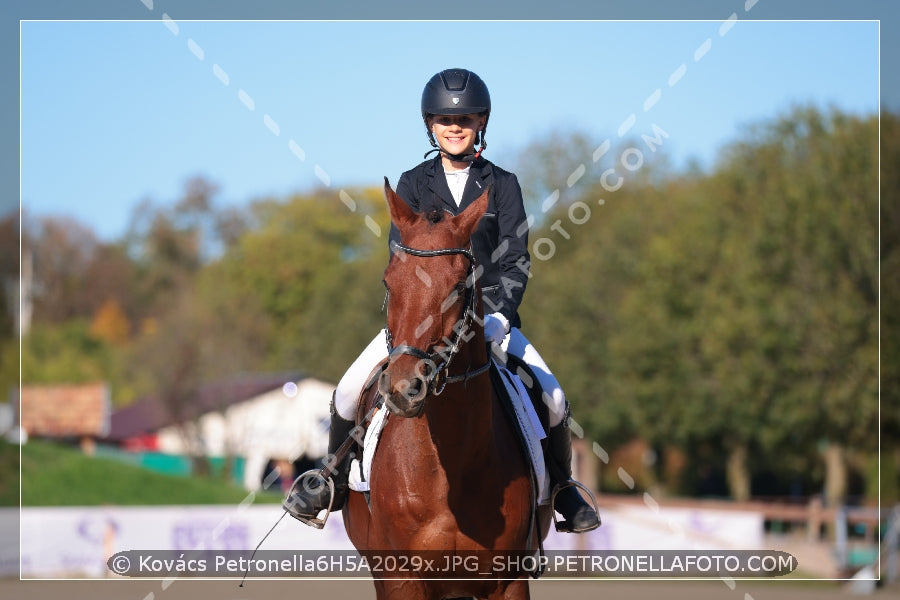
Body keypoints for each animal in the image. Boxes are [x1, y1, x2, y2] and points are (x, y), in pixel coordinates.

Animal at [342, 180, 552, 596]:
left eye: (458, 287)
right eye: (389, 281)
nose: (403, 388)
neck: (449, 470)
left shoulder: (509, 581)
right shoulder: (399, 578)